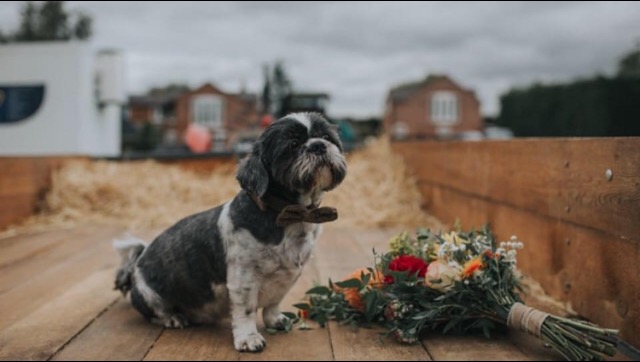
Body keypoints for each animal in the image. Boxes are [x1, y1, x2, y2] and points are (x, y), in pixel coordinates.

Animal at [112, 112, 348, 350]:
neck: (288, 214)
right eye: (293, 144)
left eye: (327, 137)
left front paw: (275, 320)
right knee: (156, 312)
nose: (318, 145)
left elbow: (273, 304)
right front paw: (249, 338)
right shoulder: (243, 279)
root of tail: (138, 260)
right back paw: (172, 317)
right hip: (149, 295)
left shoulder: (286, 278)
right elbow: (246, 311)